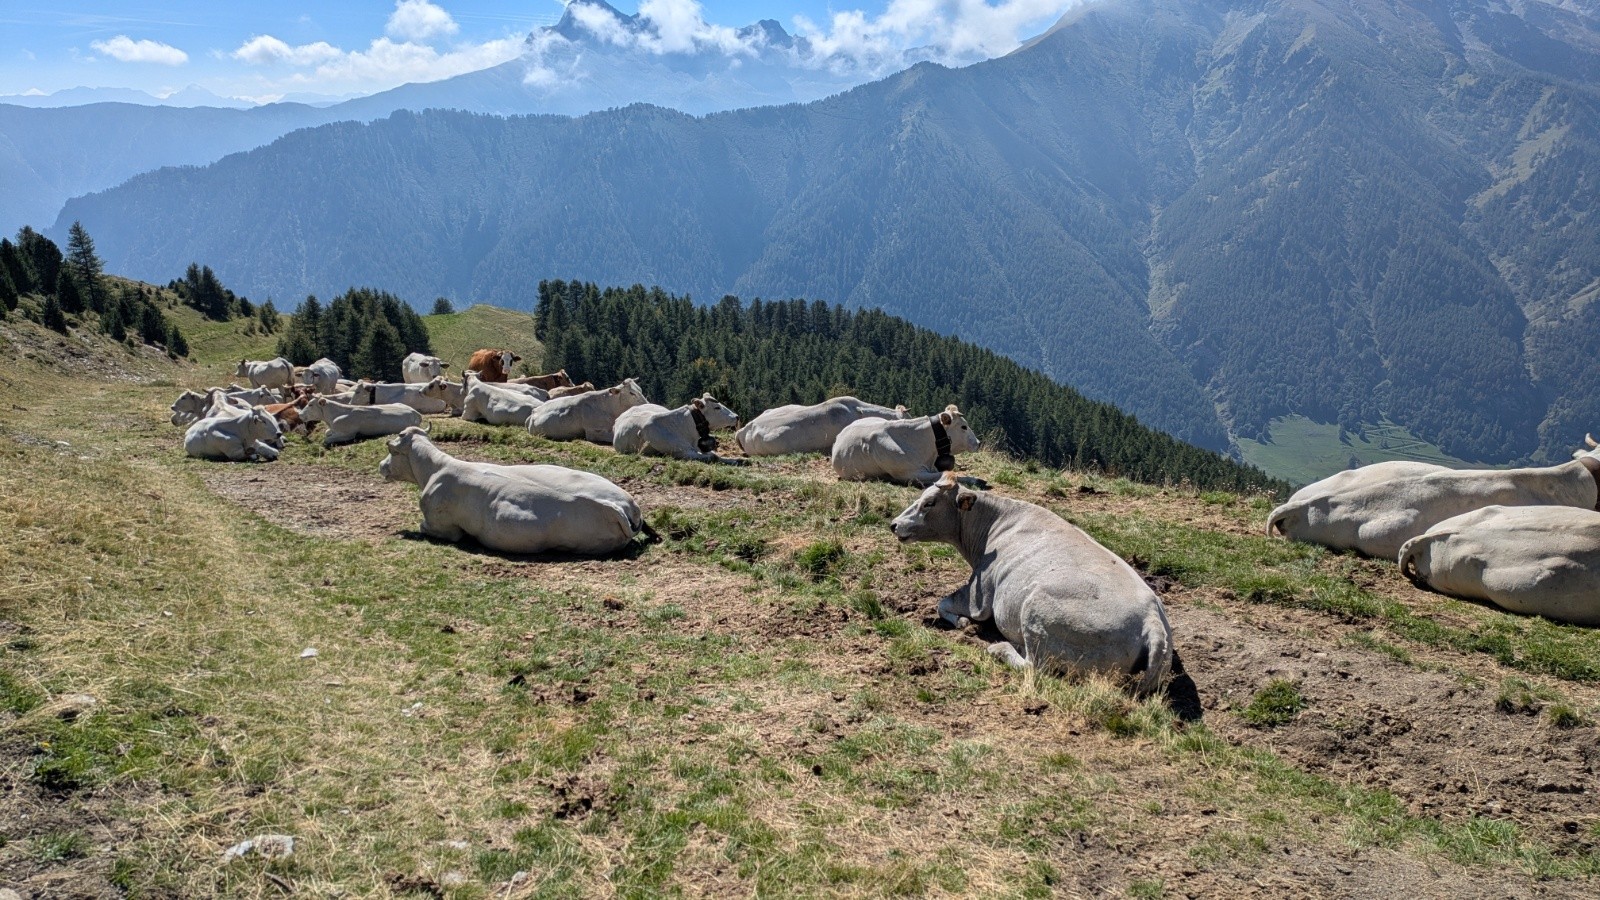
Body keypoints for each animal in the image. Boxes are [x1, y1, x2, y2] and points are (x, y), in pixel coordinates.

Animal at [379, 426, 644, 556]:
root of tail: (616, 507)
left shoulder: (443, 527)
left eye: (392, 451)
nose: (381, 466)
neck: (437, 469)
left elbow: (426, 527)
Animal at [613, 395, 742, 463]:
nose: (736, 416)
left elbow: (716, 455)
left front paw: (736, 460)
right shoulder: (681, 452)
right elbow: (712, 456)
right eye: (717, 407)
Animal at [890, 472, 1173, 693]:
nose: (894, 524)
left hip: (1037, 613)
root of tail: (1151, 620)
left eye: (929, 503)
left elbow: (944, 603)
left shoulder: (978, 594)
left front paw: (961, 622)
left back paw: (1000, 648)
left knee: (1033, 666)